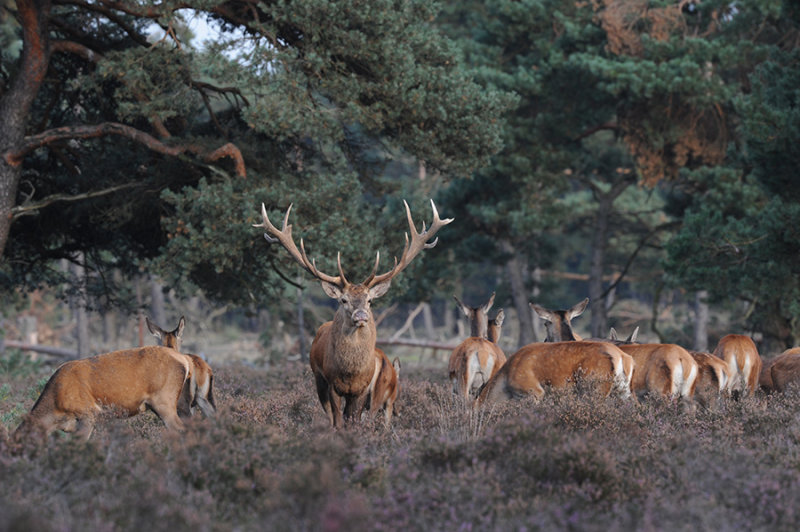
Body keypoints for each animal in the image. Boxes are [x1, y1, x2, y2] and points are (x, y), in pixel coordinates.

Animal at [260, 200, 454, 428]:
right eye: (343, 300)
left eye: (369, 300)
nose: (361, 316)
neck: (350, 372)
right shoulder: (331, 383)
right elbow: (337, 419)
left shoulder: (362, 389)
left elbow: (353, 419)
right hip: (318, 378)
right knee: (329, 412)